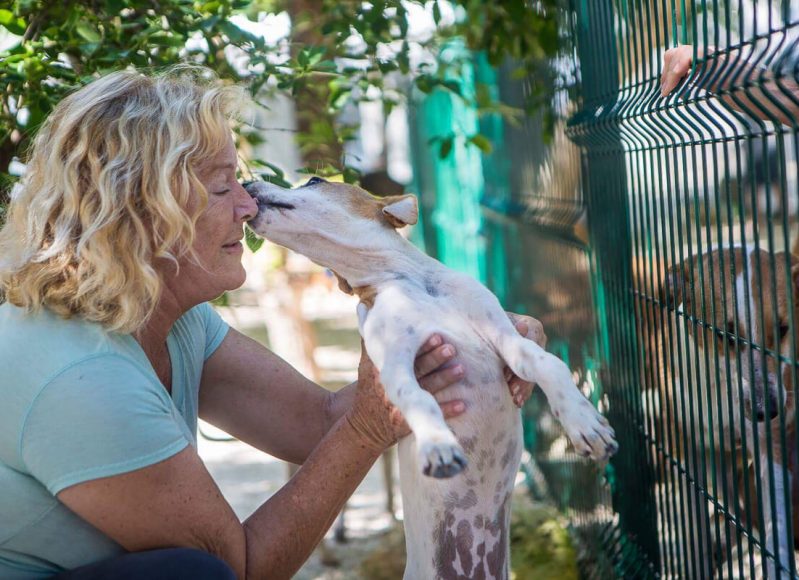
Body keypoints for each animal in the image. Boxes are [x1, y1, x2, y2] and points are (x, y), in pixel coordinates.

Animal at [245, 179, 620, 576]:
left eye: (315, 181)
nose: (247, 182)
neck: (407, 281)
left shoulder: (506, 336)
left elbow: (547, 363)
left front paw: (586, 425)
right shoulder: (394, 365)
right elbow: (419, 399)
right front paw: (437, 445)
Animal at [664, 247, 799, 576]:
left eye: (782, 330)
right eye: (726, 336)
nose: (768, 411)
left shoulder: (771, 451)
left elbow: (776, 533)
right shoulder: (687, 448)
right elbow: (694, 525)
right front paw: (697, 564)